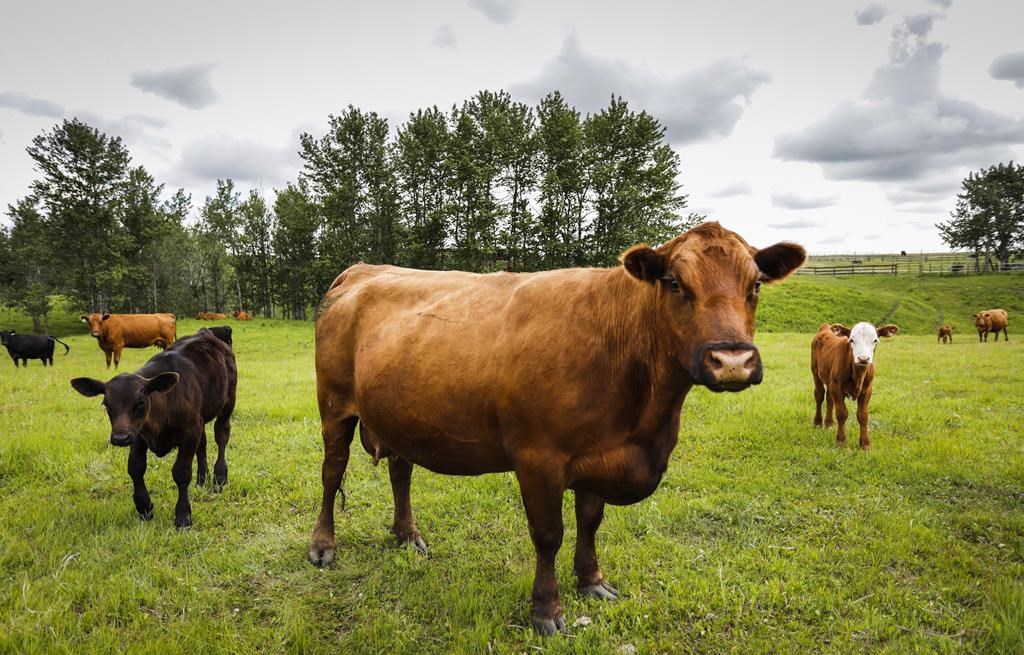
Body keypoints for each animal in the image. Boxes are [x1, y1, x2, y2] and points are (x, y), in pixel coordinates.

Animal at [69, 330, 237, 530]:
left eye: (140, 402)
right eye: (106, 404)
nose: (120, 438)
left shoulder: (189, 432)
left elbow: (181, 472)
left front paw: (183, 516)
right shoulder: (139, 434)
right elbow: (135, 468)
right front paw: (144, 506)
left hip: (228, 402)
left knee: (221, 435)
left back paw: (219, 477)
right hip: (200, 419)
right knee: (202, 444)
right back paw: (202, 479)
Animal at [307, 222, 806, 635]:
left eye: (754, 285)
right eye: (675, 283)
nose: (732, 361)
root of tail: (360, 269)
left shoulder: (599, 455)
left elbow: (590, 520)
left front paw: (592, 580)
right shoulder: (538, 459)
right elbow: (549, 536)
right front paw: (547, 611)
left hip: (401, 413)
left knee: (401, 471)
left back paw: (408, 535)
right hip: (334, 404)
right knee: (332, 473)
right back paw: (323, 546)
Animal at [811, 322, 899, 450]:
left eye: (875, 340)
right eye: (851, 340)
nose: (863, 358)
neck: (858, 375)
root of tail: (826, 327)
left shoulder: (867, 390)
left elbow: (863, 415)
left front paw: (865, 444)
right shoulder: (837, 387)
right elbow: (842, 413)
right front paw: (841, 441)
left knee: (829, 399)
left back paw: (829, 423)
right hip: (815, 371)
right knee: (819, 395)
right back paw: (817, 423)